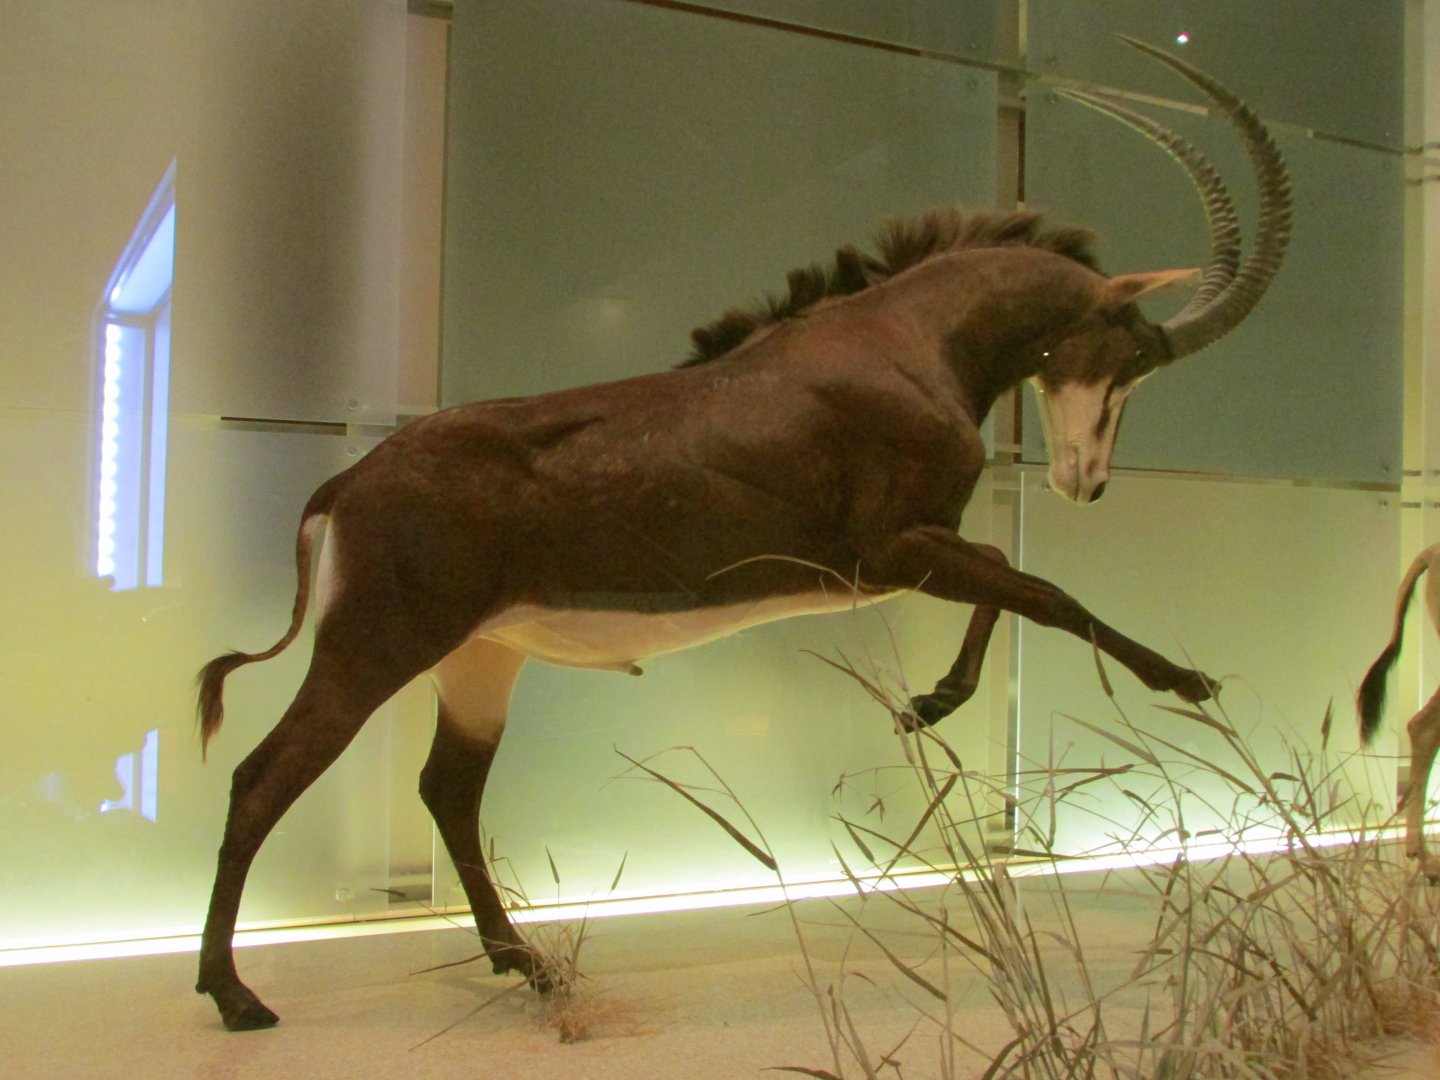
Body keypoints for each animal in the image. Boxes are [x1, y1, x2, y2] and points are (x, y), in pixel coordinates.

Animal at [195, 38, 1291, 1031]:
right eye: (1137, 353)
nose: (1086, 483)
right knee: (261, 778)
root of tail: (350, 477)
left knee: (447, 792)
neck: (906, 343)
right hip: (377, 646)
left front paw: (931, 703)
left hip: (479, 661)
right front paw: (1187, 682)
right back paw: (237, 996)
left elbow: (1008, 572)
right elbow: (1042, 589)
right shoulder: (889, 552)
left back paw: (528, 966)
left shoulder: (906, 554)